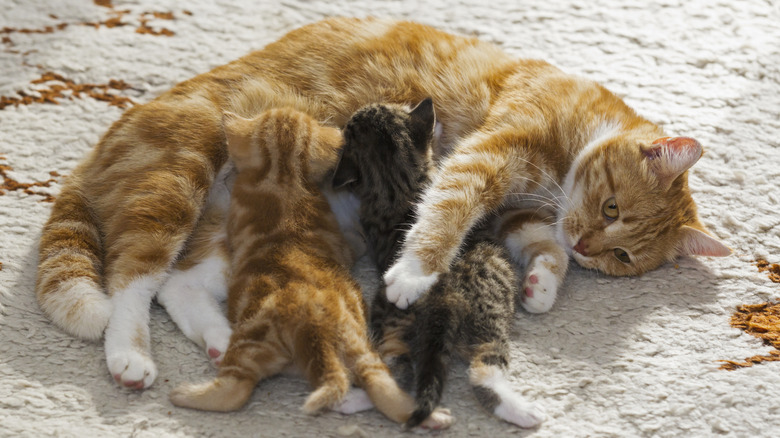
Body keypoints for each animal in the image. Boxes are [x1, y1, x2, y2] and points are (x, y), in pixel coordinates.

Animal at [35, 17, 732, 388]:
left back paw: (220, 339)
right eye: (613, 210)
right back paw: (129, 355)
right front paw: (412, 274)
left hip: (235, 228)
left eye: (622, 259)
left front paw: (540, 285)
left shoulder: (521, 210)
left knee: (178, 284)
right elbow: (445, 211)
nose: (590, 245)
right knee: (133, 279)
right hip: (180, 178)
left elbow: (540, 244)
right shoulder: (487, 154)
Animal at [332, 98, 544, 428]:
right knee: (483, 369)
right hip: (489, 321)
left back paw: (353, 400)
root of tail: (445, 299)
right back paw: (521, 411)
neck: (395, 183)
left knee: (396, 370)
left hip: (390, 319)